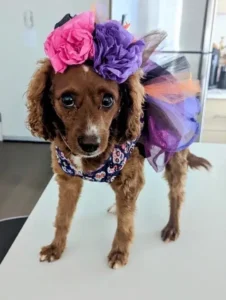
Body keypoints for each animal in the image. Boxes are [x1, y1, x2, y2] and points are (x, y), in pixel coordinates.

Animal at [26, 59, 212, 270]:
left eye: (108, 100)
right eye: (67, 100)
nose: (90, 144)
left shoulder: (128, 181)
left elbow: (125, 224)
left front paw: (119, 253)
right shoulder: (68, 181)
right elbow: (62, 218)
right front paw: (55, 248)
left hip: (174, 158)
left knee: (176, 194)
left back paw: (172, 227)